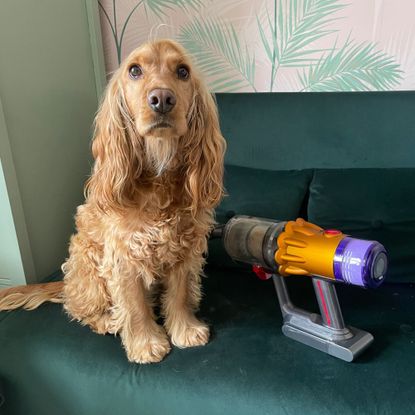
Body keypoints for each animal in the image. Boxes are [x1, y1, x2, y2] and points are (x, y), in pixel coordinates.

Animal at [0, 39, 226, 364]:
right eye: (134, 70)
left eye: (183, 71)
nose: (161, 99)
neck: (159, 172)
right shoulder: (123, 255)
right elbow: (133, 305)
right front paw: (146, 344)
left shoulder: (184, 249)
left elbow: (181, 294)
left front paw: (185, 330)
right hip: (87, 265)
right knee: (78, 309)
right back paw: (107, 320)